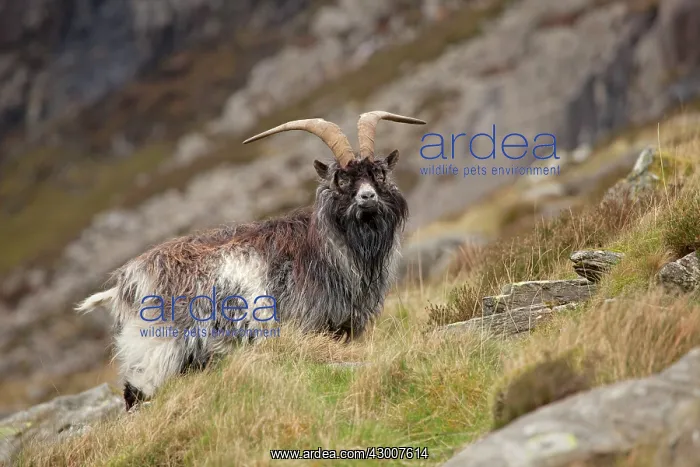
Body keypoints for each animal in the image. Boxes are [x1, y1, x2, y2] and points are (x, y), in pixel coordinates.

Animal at [76, 111, 426, 411]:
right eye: (341, 179)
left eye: (378, 174)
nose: (368, 197)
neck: (322, 246)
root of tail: (126, 283)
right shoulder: (308, 324)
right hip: (155, 352)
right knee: (134, 395)